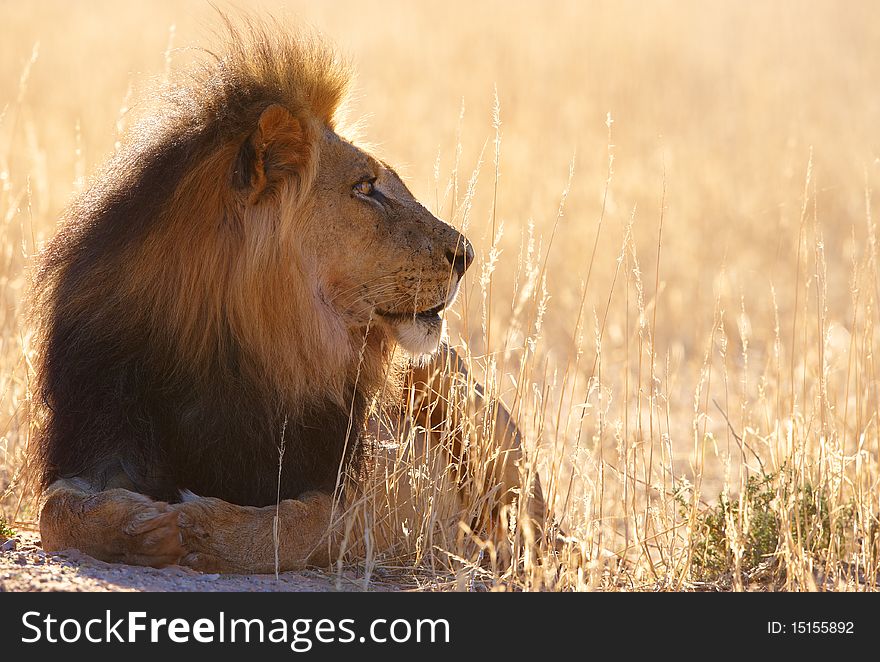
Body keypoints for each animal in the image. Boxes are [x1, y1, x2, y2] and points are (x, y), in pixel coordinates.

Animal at [27, 18, 548, 572]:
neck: (236, 345)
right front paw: (140, 526)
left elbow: (301, 525)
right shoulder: (104, 431)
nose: (466, 254)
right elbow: (55, 510)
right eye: (366, 187)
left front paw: (203, 528)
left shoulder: (377, 487)